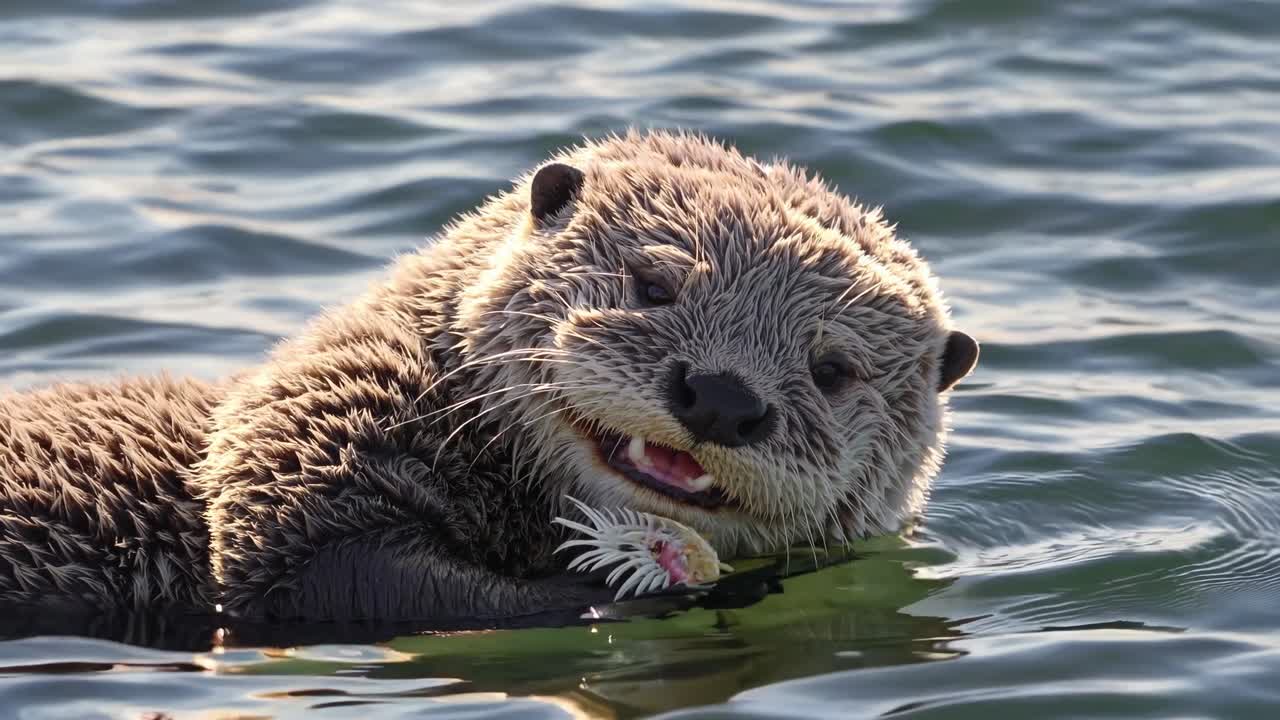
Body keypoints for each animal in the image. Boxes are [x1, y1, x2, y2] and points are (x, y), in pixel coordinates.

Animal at [0, 131, 978, 621]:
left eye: (832, 368)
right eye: (654, 284)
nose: (724, 397)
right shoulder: (308, 437)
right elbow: (329, 573)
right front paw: (610, 589)